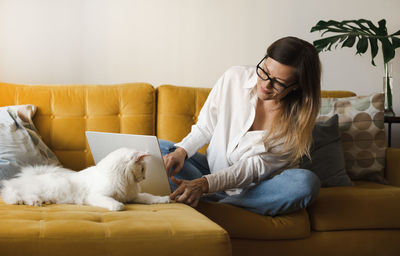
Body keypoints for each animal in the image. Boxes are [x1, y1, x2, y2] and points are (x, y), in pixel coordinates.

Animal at [0, 147, 170, 211]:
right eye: (143, 169)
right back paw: (33, 202)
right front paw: (118, 206)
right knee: (18, 194)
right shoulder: (97, 196)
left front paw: (164, 199)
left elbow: (149, 197)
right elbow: (113, 202)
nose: (144, 177)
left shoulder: (133, 196)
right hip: (43, 188)